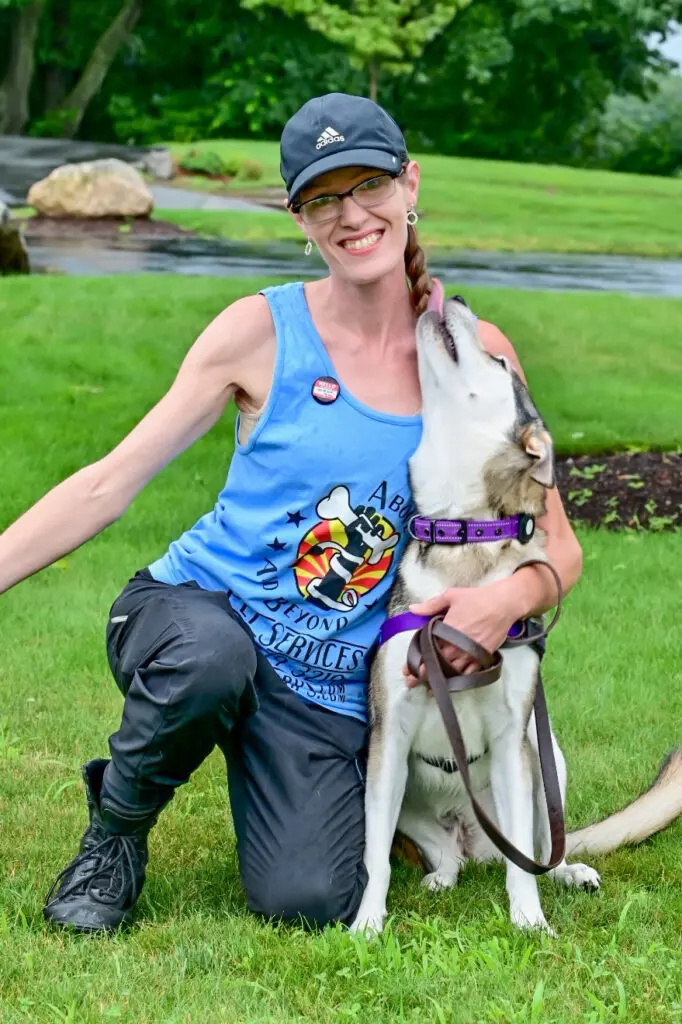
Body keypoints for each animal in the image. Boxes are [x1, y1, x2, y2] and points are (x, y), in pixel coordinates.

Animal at [350, 296, 679, 937]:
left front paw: (530, 924)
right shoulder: (389, 738)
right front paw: (367, 925)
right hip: (410, 797)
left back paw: (567, 873)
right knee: (447, 852)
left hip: (544, 755)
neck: (462, 530)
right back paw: (442, 875)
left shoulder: (510, 742)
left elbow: (524, 863)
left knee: (541, 847)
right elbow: (375, 854)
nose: (457, 299)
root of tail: (476, 842)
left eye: (500, 361)